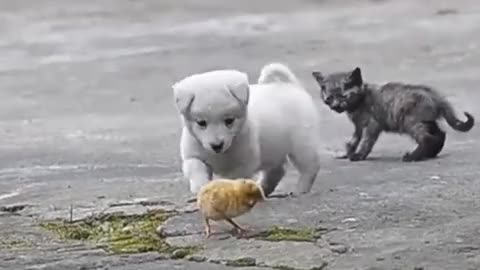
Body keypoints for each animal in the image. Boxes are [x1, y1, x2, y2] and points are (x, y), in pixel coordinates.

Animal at [171, 62, 320, 196]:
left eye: (229, 120)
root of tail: (291, 85)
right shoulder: (193, 155)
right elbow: (196, 168)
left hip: (302, 145)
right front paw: (200, 186)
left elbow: (233, 179)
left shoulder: (242, 165)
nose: (217, 145)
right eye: (201, 123)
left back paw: (300, 190)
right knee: (276, 171)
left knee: (309, 167)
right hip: (273, 150)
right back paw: (262, 188)